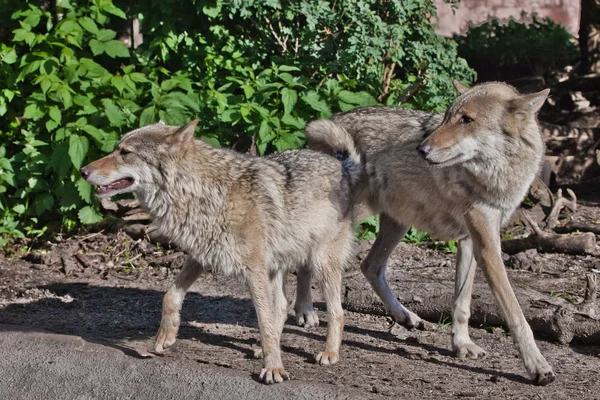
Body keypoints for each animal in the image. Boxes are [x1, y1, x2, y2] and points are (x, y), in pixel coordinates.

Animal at [82, 119, 358, 384]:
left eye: (125, 152)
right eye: (116, 149)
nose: (83, 171)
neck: (200, 192)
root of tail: (341, 165)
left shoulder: (253, 270)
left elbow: (264, 322)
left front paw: (274, 369)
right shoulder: (200, 256)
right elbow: (170, 295)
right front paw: (165, 336)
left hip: (320, 264)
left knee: (337, 312)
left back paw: (329, 353)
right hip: (276, 268)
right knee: (281, 307)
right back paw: (262, 349)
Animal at [302, 80, 556, 384]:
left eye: (466, 120)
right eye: (447, 117)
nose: (421, 149)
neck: (500, 175)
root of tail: (334, 119)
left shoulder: (470, 240)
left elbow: (462, 303)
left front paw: (462, 344)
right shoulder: (488, 247)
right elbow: (516, 314)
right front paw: (537, 365)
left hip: (397, 224)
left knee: (370, 266)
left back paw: (405, 316)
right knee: (309, 263)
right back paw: (304, 311)